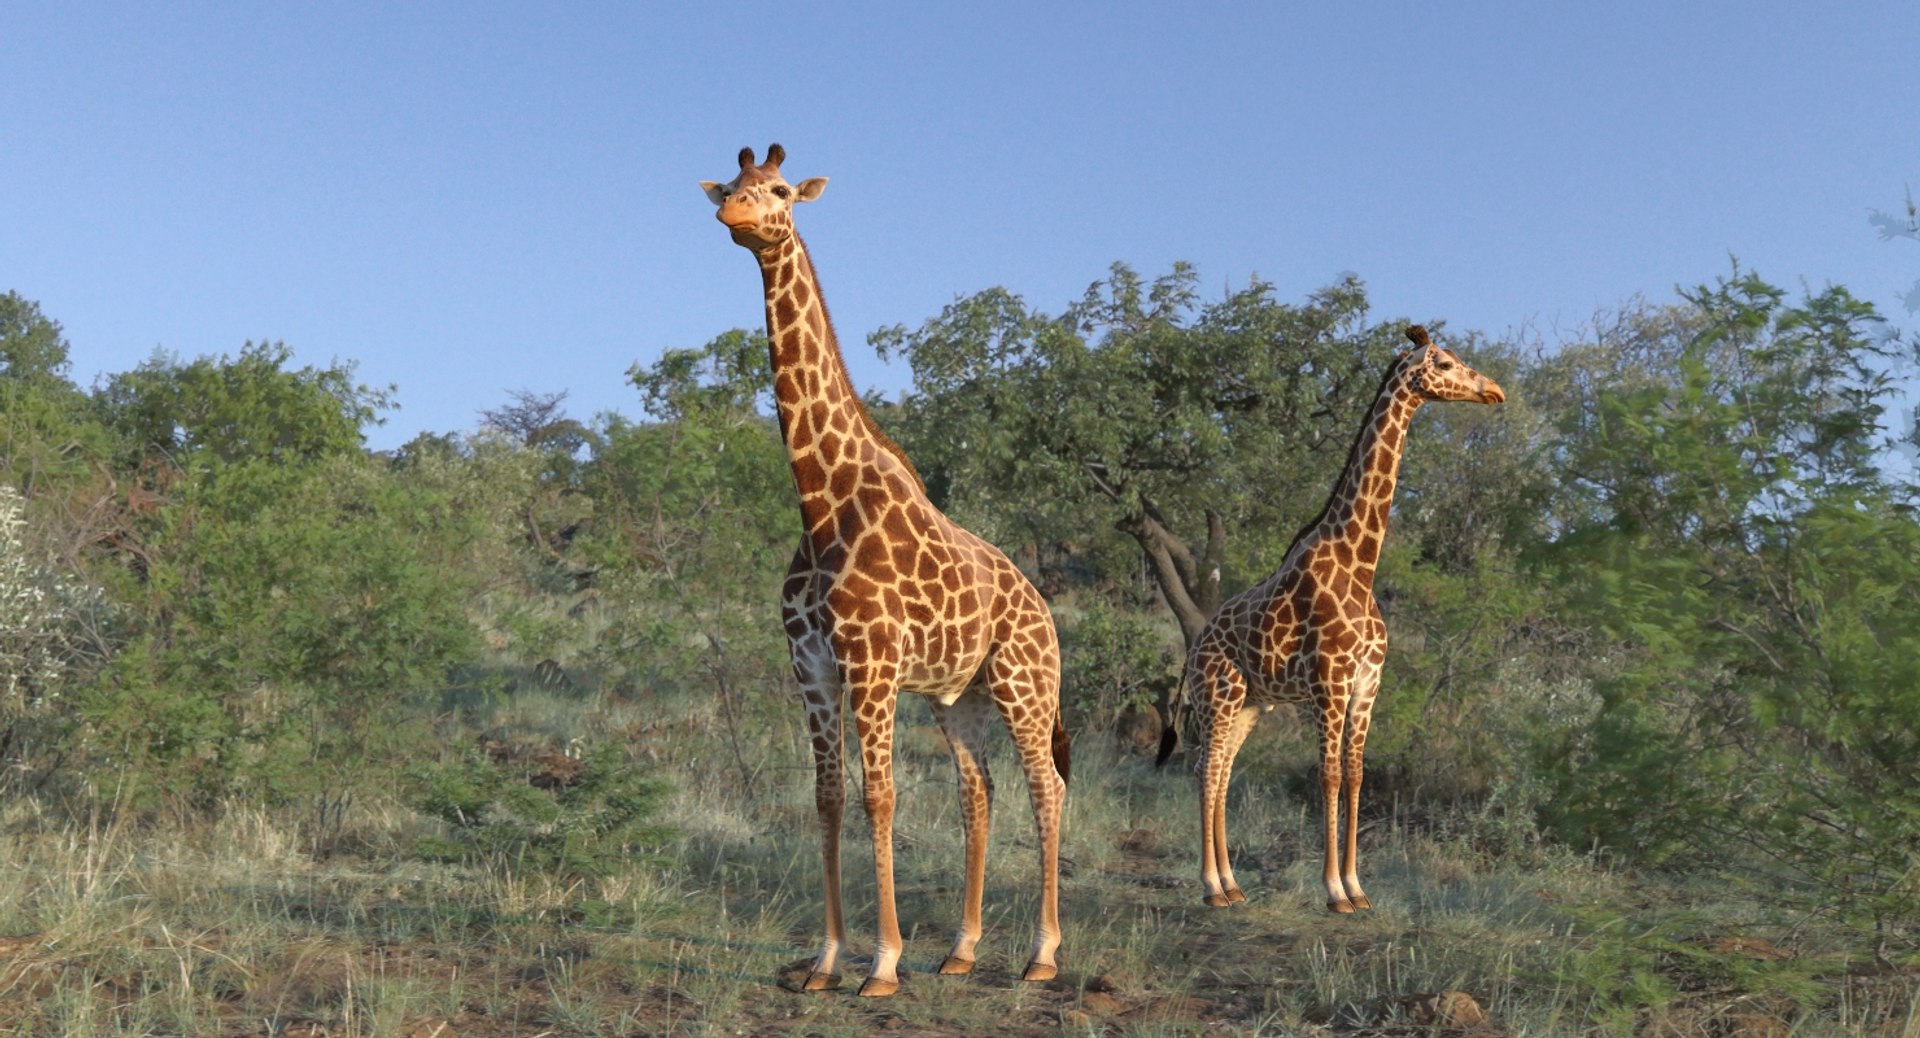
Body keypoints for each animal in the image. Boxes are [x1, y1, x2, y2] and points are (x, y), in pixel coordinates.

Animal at [700, 145, 1071, 997]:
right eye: (727, 185)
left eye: (779, 191)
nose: (733, 216)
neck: (820, 499)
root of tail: (1044, 608)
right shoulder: (812, 668)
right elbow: (829, 797)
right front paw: (826, 961)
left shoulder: (870, 664)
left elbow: (881, 798)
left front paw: (883, 963)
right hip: (958, 697)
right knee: (979, 790)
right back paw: (962, 949)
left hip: (1025, 683)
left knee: (1048, 785)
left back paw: (1041, 955)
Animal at [1159, 325, 1503, 912]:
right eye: (1444, 361)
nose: (1494, 391)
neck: (1360, 562)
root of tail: (1195, 647)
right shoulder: (1329, 683)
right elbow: (1329, 775)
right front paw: (1334, 891)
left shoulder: (1367, 684)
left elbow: (1357, 775)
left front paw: (1358, 888)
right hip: (1219, 695)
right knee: (1206, 769)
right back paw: (1210, 887)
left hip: (1251, 704)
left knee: (1222, 771)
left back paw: (1232, 884)